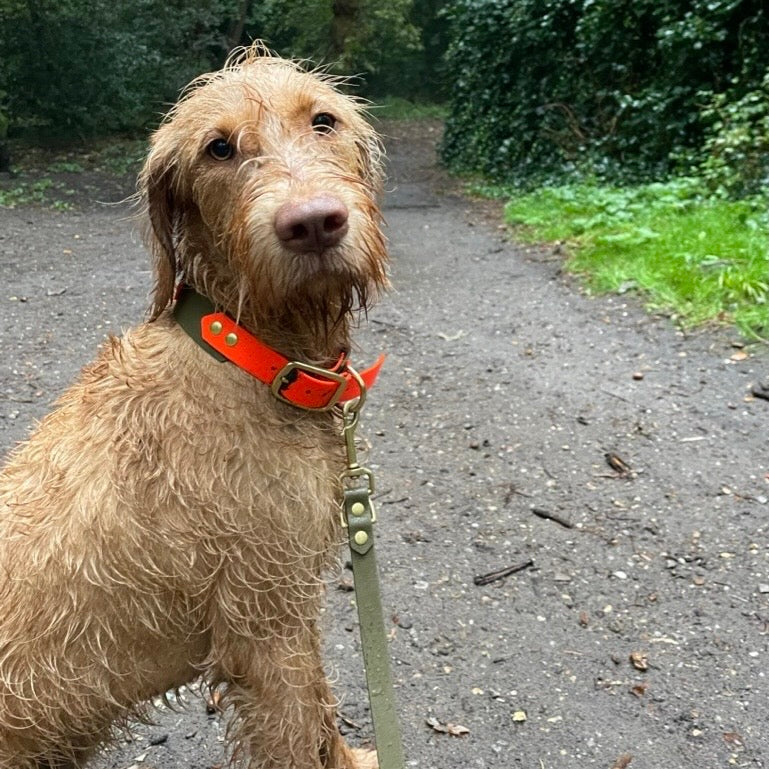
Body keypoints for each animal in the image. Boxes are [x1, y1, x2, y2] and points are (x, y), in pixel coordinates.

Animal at [0, 46, 388, 768]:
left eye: (322, 120)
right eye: (218, 148)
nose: (312, 223)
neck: (246, 355)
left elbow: (323, 718)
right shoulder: (266, 627)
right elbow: (303, 728)